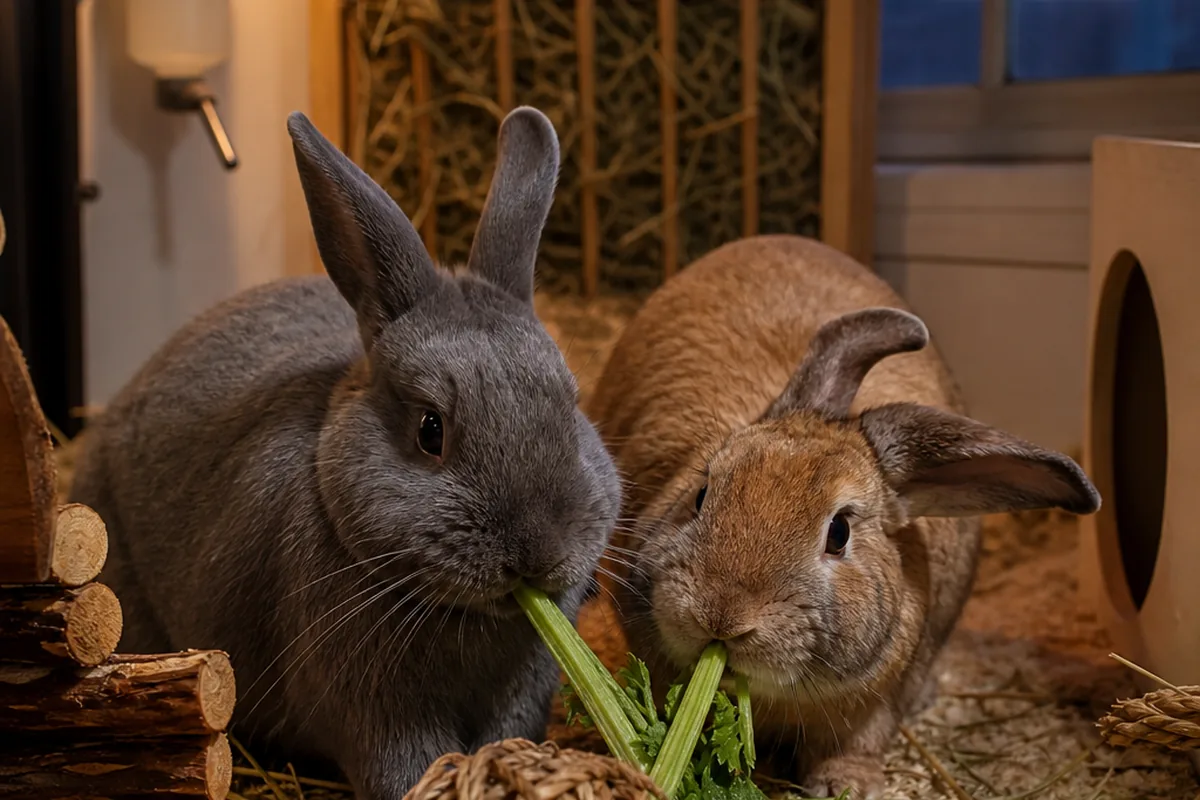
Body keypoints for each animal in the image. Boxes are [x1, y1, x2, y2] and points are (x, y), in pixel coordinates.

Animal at [67, 106, 621, 799]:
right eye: (431, 430)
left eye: (571, 405)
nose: (537, 553)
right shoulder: (375, 710)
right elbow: (405, 765)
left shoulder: (523, 686)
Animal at [585, 234, 1100, 799]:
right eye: (701, 494)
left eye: (840, 532)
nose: (720, 617)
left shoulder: (875, 705)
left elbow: (856, 743)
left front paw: (843, 785)